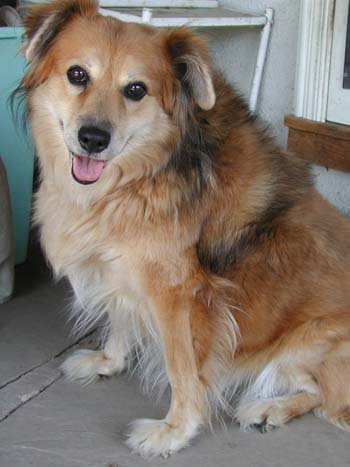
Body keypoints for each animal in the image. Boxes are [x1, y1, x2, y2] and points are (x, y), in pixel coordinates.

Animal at [17, 0, 350, 458]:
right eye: (78, 74)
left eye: (136, 90)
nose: (93, 138)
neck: (139, 176)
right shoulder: (122, 266)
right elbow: (120, 316)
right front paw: (108, 361)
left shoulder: (179, 294)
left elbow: (183, 368)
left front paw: (174, 431)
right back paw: (268, 409)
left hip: (307, 343)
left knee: (325, 397)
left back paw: (270, 408)